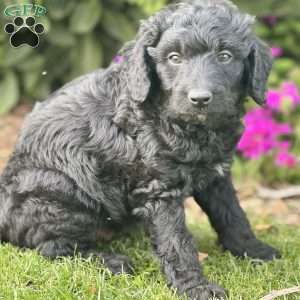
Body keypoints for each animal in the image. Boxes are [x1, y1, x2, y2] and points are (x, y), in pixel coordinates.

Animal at [1, 0, 280, 298]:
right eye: (174, 58)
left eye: (225, 56)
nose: (200, 99)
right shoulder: (159, 188)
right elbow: (177, 241)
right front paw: (196, 287)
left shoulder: (216, 174)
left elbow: (232, 213)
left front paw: (253, 250)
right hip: (62, 190)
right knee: (53, 246)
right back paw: (110, 262)